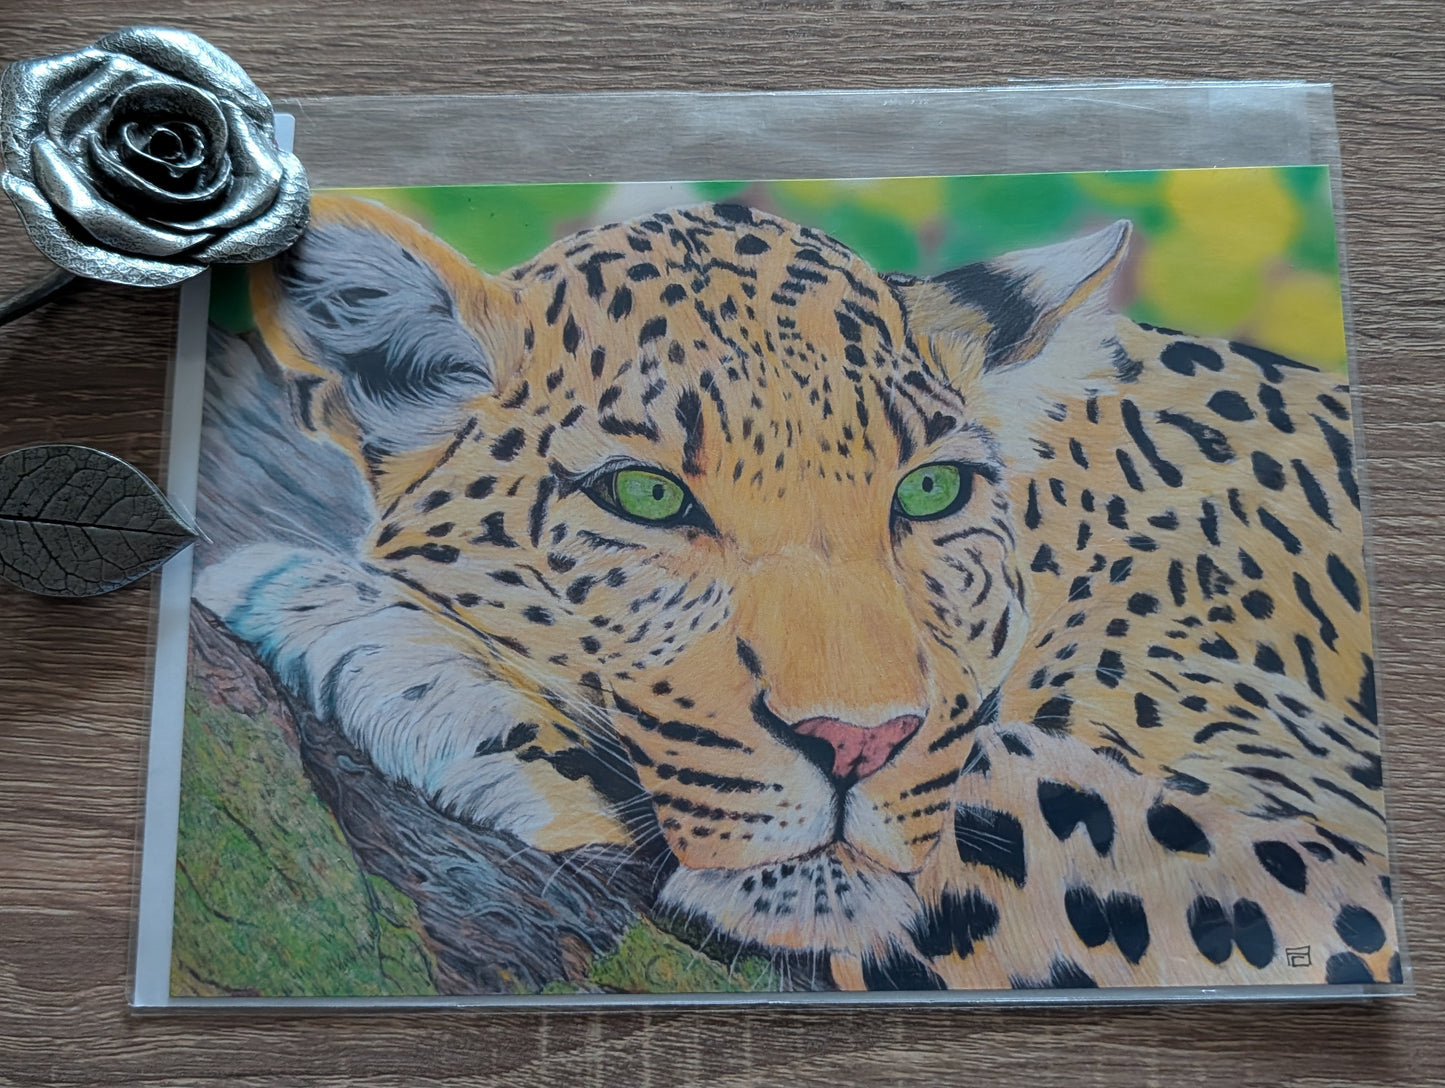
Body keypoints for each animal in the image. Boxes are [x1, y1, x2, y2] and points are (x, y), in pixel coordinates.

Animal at [196, 191, 1400, 993]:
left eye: (928, 489)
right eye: (645, 494)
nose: (851, 743)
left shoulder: (1344, 855)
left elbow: (998, 793)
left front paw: (390, 643)